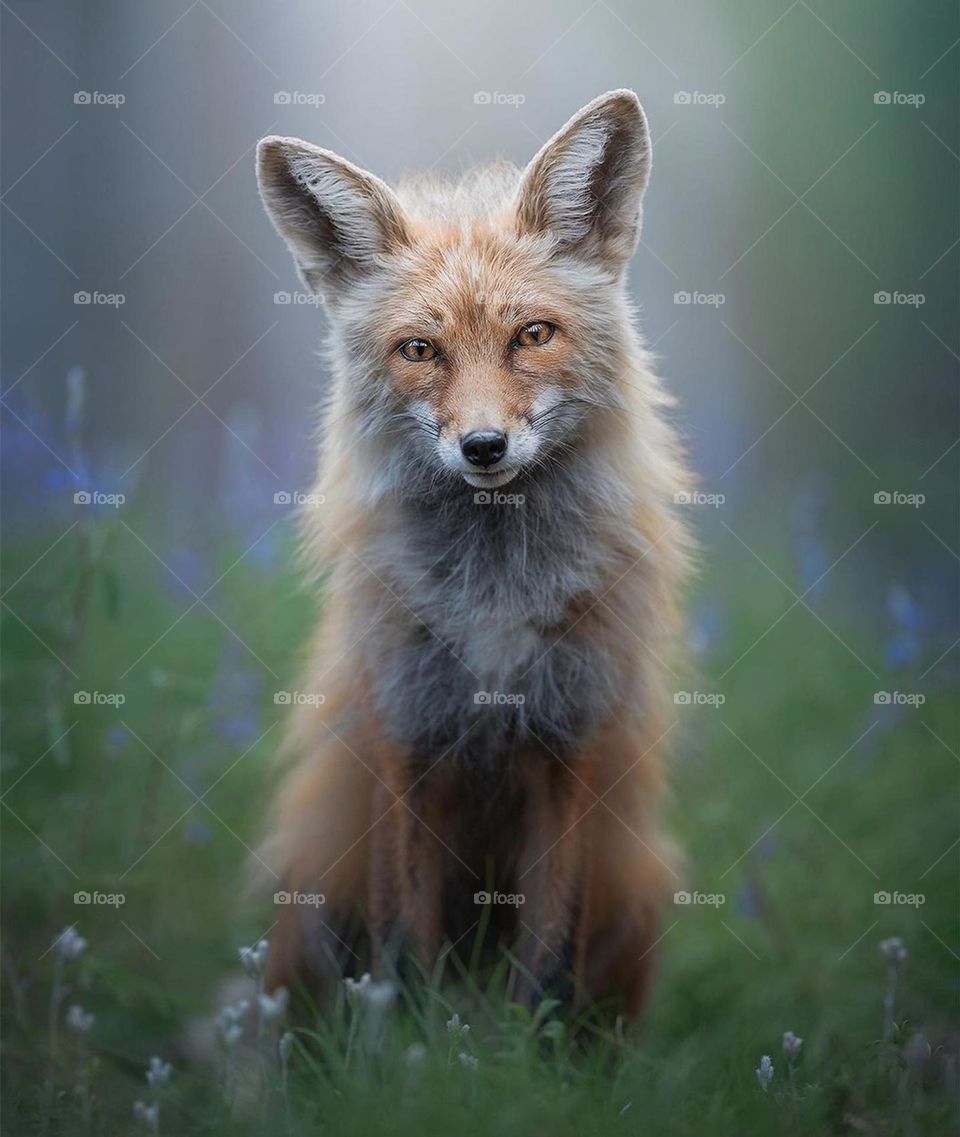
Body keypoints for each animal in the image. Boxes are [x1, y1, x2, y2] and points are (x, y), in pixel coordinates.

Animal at [254, 89, 693, 1021]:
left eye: (533, 334)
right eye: (420, 350)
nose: (484, 446)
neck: (494, 600)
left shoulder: (571, 748)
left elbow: (549, 965)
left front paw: (528, 1053)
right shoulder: (406, 741)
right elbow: (403, 960)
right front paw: (414, 1048)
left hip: (638, 893)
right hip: (310, 899)